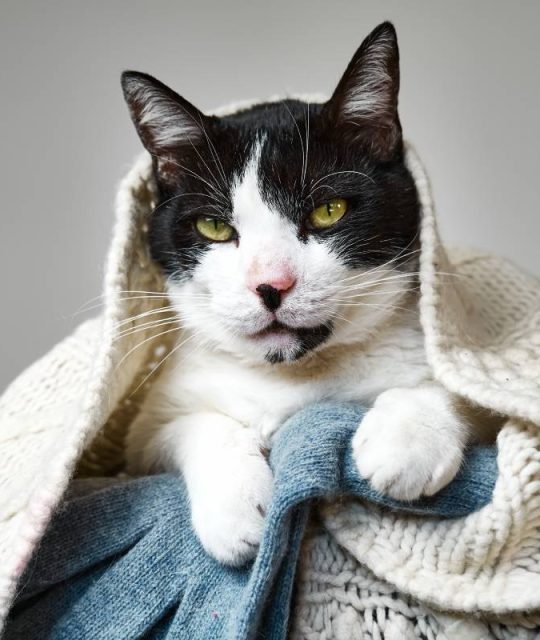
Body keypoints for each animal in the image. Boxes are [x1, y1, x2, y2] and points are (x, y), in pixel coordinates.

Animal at [122, 23, 472, 564]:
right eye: (214, 226)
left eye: (329, 210)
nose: (271, 284)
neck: (292, 378)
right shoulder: (139, 441)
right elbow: (188, 425)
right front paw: (236, 507)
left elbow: (458, 385)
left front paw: (409, 438)